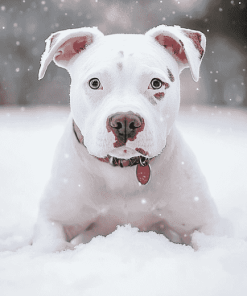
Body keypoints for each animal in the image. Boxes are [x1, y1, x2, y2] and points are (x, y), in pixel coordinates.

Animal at [32, 24, 222, 252]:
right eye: (94, 83)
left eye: (156, 83)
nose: (124, 121)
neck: (123, 170)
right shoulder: (54, 218)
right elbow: (52, 245)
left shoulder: (204, 224)